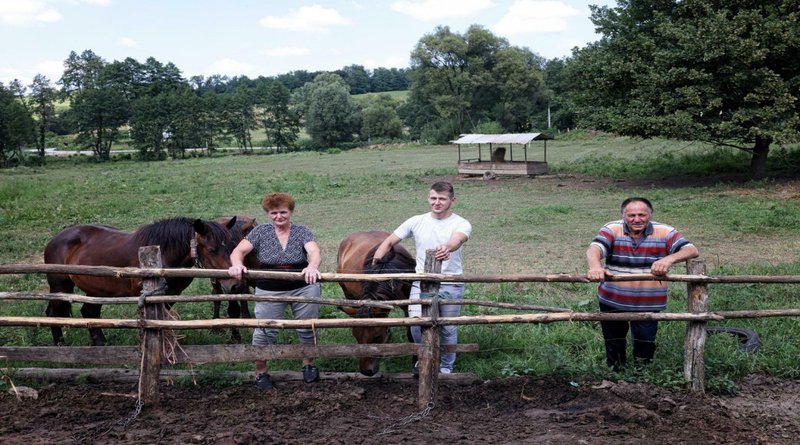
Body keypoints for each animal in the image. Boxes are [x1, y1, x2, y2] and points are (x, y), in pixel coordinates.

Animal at [43, 217, 242, 346]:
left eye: (232, 246)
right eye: (212, 249)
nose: (233, 284)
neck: (164, 253)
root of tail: (55, 239)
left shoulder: (170, 296)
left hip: (96, 290)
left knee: (89, 312)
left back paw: (100, 343)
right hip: (60, 286)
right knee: (54, 313)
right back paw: (60, 344)